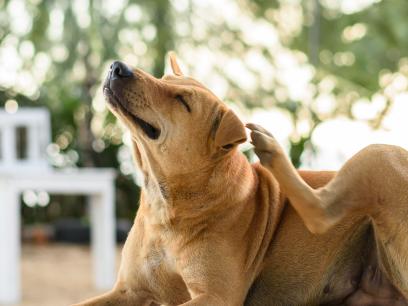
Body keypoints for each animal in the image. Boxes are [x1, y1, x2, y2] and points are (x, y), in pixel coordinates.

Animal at [73, 55, 408, 306]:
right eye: (163, 79)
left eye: (182, 101)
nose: (117, 66)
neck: (166, 203)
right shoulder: (129, 291)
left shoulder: (216, 297)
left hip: (379, 154)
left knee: (322, 212)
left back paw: (271, 148)